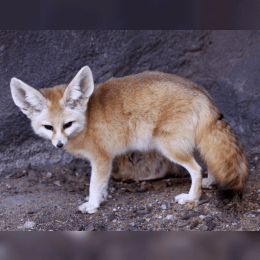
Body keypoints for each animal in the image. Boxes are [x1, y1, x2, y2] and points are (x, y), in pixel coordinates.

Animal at [10, 66, 249, 213]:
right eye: (49, 127)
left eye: (67, 125)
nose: (59, 145)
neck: (87, 120)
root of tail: (201, 93)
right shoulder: (105, 161)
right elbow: (102, 185)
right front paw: (102, 198)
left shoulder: (102, 159)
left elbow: (94, 185)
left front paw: (93, 205)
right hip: (192, 144)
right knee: (210, 161)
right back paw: (211, 181)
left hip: (170, 148)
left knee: (196, 169)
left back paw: (192, 198)